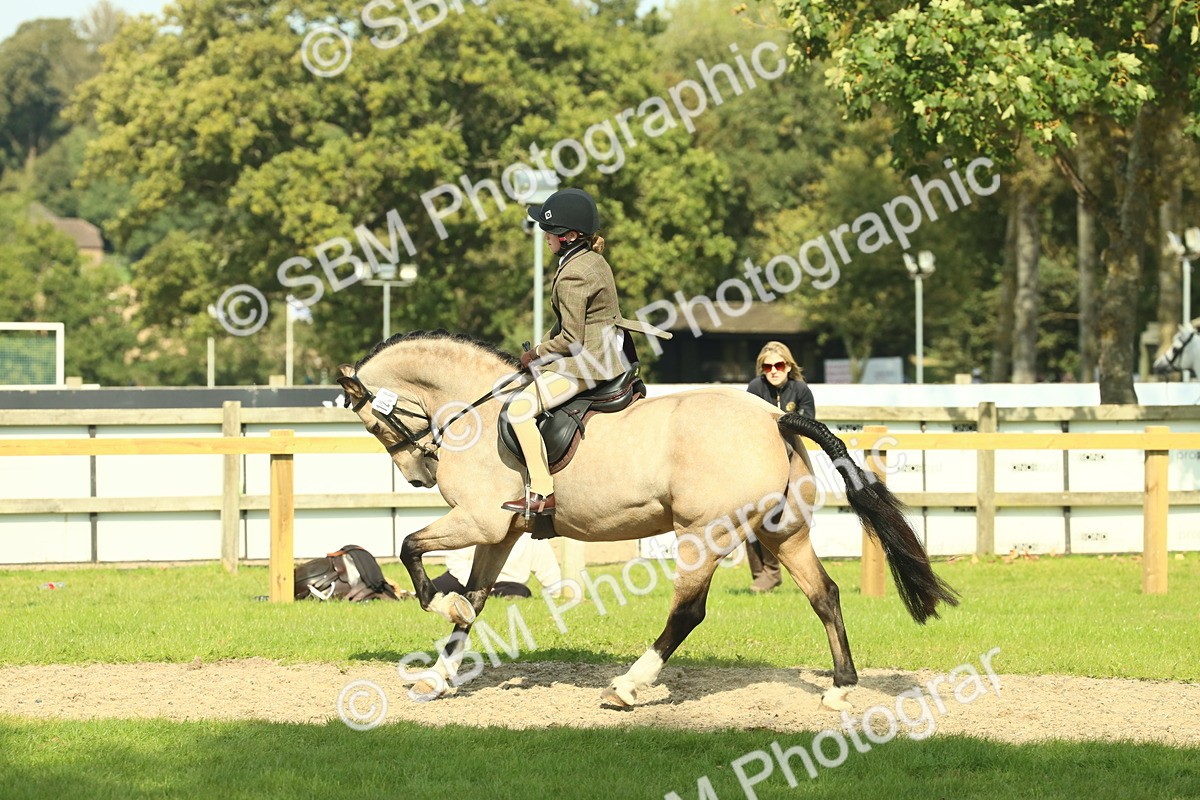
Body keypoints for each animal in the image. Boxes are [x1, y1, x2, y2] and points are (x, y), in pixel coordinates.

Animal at [335, 330, 958, 710]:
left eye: (373, 424)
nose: (420, 473)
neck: (480, 412)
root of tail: (773, 417)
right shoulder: (500, 532)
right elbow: (477, 599)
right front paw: (439, 673)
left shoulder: (479, 521)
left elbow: (411, 548)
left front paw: (441, 606)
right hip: (782, 531)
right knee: (824, 594)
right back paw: (839, 689)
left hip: (703, 535)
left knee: (688, 612)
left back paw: (628, 687)